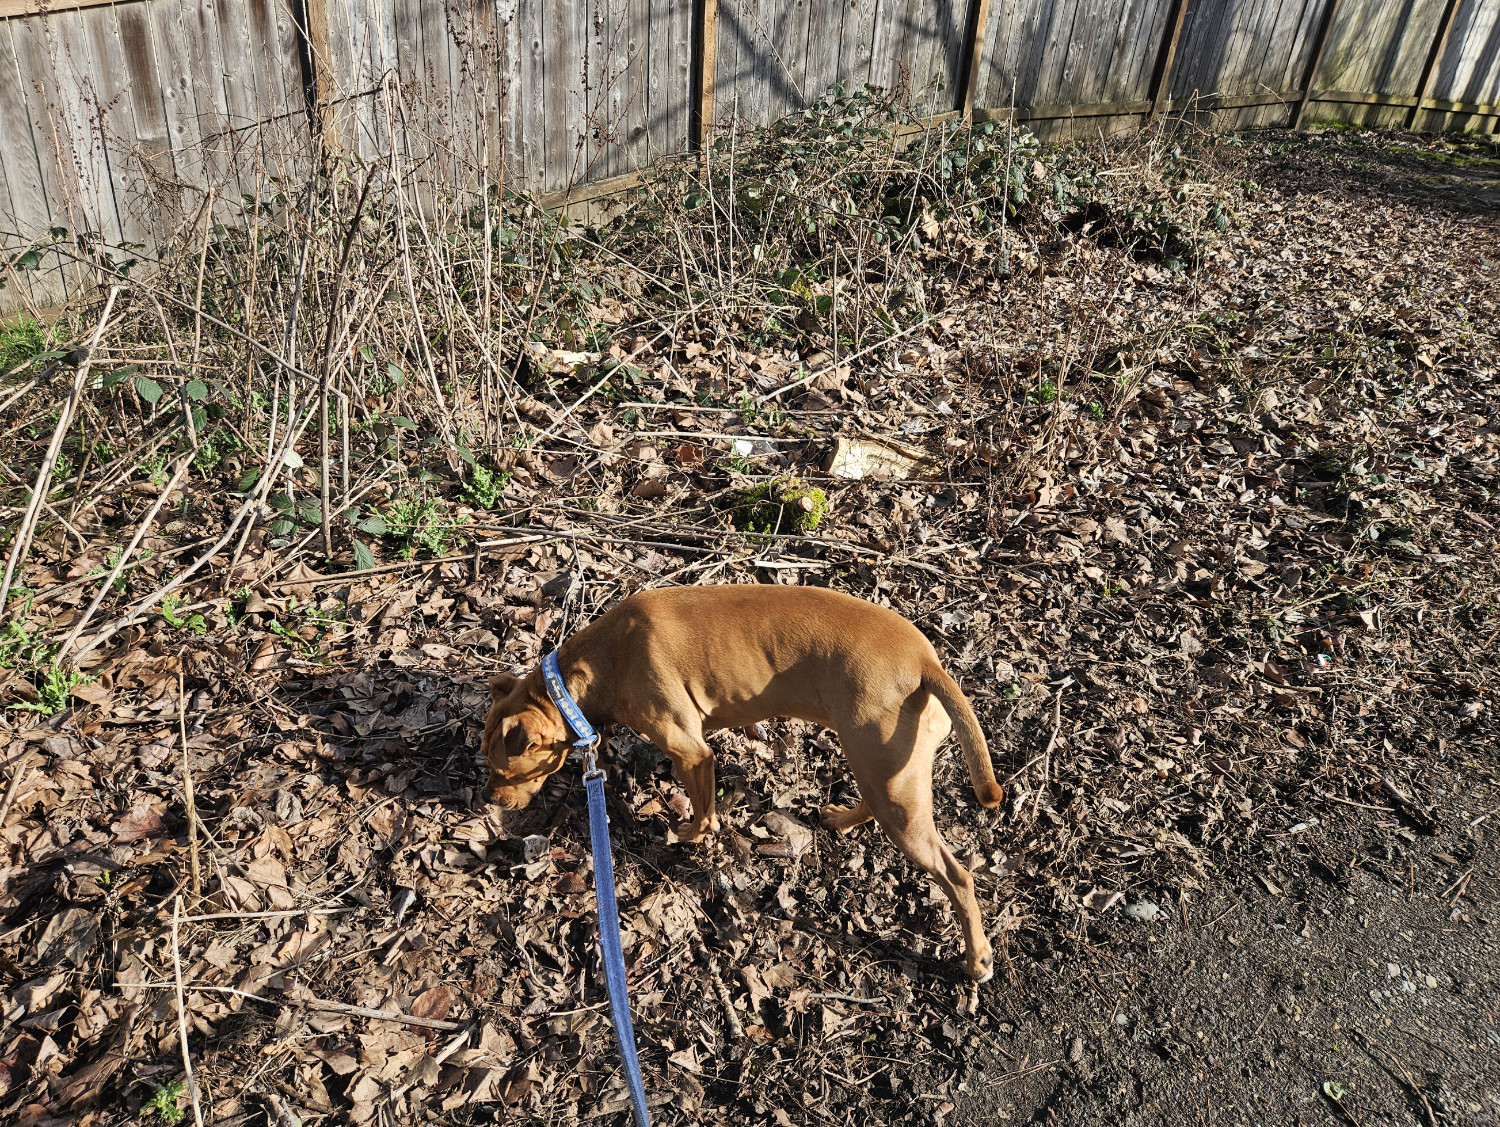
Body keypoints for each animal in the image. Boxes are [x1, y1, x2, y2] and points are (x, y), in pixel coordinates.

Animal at [486, 582, 1002, 978]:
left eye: (501, 769)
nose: (488, 800)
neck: (592, 671)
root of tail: (925, 663)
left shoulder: (692, 752)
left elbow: (703, 812)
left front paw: (691, 834)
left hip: (890, 784)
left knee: (958, 877)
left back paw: (977, 959)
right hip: (880, 769)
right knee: (873, 802)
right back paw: (840, 820)